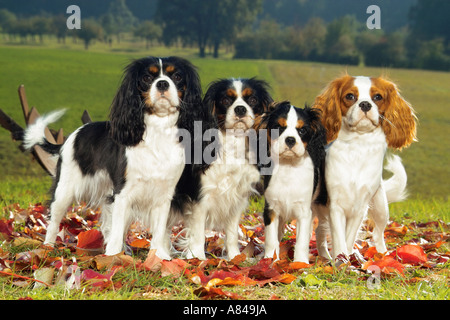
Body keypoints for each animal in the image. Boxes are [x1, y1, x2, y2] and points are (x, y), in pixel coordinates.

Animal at [22, 57, 202, 260]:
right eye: (147, 78)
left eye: (177, 76)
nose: (162, 83)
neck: (158, 129)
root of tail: (70, 137)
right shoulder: (122, 194)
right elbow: (117, 230)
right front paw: (114, 257)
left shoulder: (164, 196)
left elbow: (159, 230)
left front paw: (160, 257)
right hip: (64, 190)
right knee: (54, 220)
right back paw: (48, 248)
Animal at [180, 77, 274, 260]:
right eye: (225, 101)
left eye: (253, 100)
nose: (240, 109)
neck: (233, 142)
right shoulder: (200, 198)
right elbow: (198, 232)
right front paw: (197, 258)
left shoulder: (236, 199)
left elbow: (232, 232)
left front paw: (235, 257)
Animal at [258, 102, 326, 262]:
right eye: (278, 127)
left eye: (302, 130)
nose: (290, 139)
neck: (288, 166)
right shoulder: (271, 210)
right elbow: (271, 239)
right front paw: (269, 259)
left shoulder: (304, 213)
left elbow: (301, 241)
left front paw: (300, 263)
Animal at [312, 75, 416, 260]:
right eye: (350, 96)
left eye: (378, 97)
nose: (365, 104)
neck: (358, 145)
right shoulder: (335, 206)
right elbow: (339, 237)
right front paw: (340, 260)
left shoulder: (360, 208)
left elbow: (349, 237)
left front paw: (346, 258)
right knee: (320, 231)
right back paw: (325, 257)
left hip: (381, 208)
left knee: (378, 234)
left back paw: (383, 255)